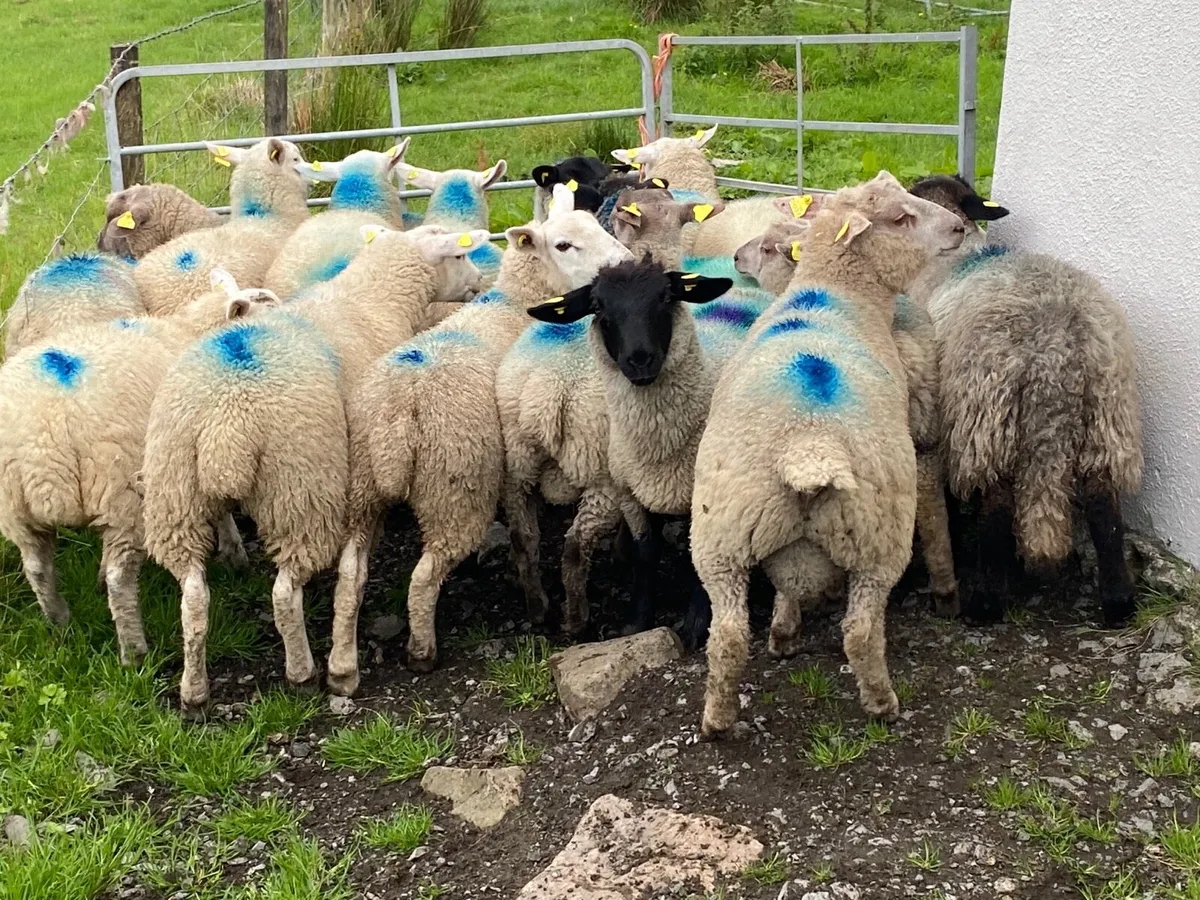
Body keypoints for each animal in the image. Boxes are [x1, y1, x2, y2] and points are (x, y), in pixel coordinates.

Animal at [0, 269, 279, 665]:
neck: (189, 332)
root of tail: (42, 439)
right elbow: (220, 508)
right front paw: (234, 552)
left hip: (15, 509)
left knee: (37, 569)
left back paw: (61, 622)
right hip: (120, 494)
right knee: (120, 580)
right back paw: (134, 652)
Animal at [141, 225, 488, 713]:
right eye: (459, 254)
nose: (479, 282)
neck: (373, 298)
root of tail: (224, 420)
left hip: (175, 492)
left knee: (192, 596)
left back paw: (194, 692)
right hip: (298, 485)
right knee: (285, 592)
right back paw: (302, 672)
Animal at [325, 184, 634, 693]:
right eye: (564, 245)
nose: (625, 264)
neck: (517, 302)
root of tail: (397, 416)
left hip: (362, 489)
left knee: (351, 575)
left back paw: (342, 669)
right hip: (454, 488)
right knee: (424, 577)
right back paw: (422, 652)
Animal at [908, 176, 1141, 625]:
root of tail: (1055, 347)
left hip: (987, 414)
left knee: (996, 506)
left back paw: (985, 604)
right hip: (1108, 412)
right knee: (1104, 506)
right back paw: (1119, 603)